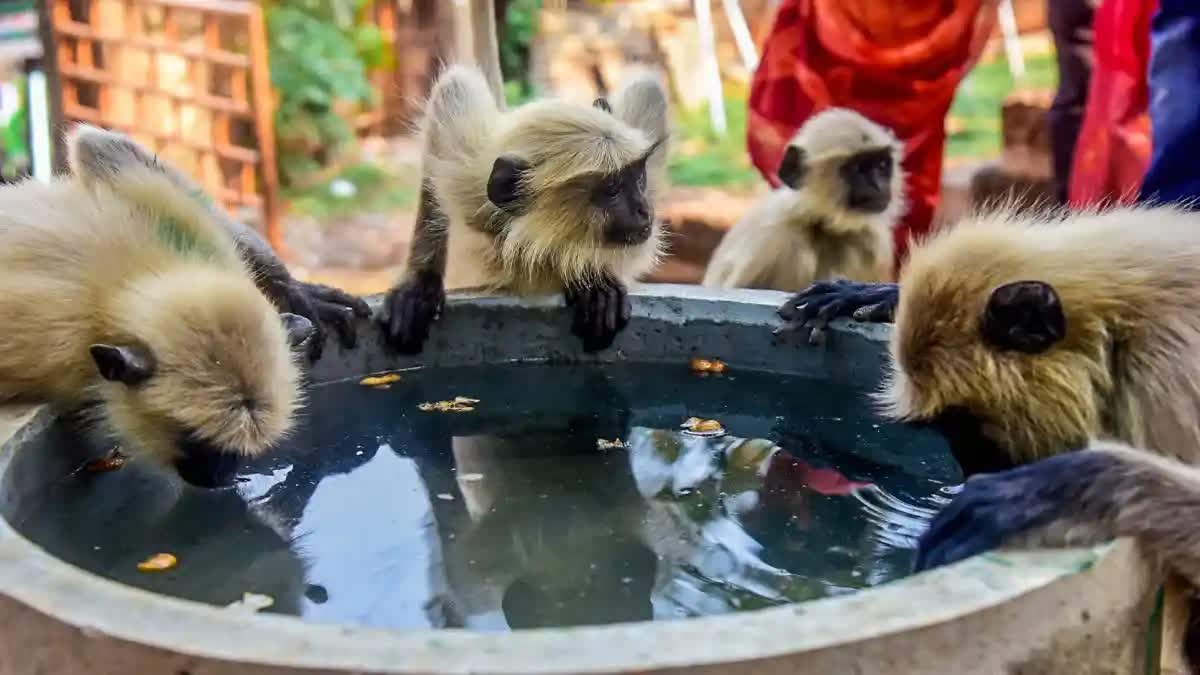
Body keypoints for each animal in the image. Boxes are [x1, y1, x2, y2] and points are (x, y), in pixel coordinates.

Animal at [0, 126, 314, 482]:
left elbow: (98, 145)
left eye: (237, 453)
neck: (119, 292)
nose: (218, 478)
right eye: (195, 440)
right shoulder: (51, 339)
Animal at [700, 106, 902, 290]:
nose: (878, 186)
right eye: (858, 169)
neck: (823, 228)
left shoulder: (874, 241)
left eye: (882, 165)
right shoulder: (774, 240)